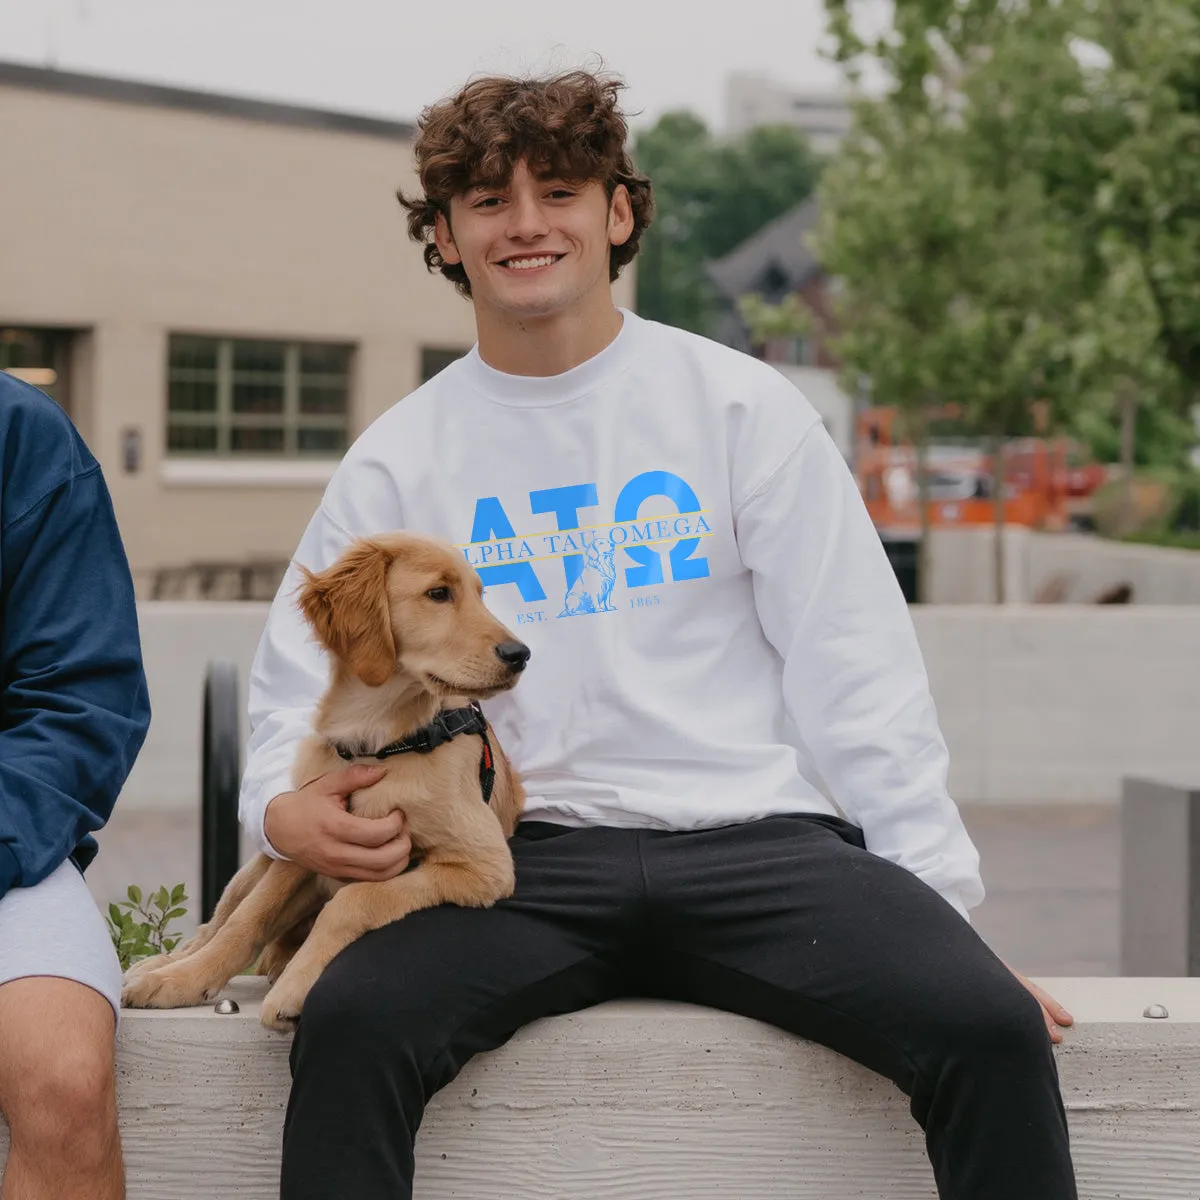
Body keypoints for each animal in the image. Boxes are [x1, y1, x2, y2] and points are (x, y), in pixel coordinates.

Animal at [121, 535, 530, 1032]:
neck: (381, 740)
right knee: (217, 921)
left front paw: (293, 988)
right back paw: (160, 966)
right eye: (439, 594)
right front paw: (185, 979)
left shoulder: (483, 865)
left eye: (480, 595)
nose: (519, 655)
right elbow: (247, 920)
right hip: (263, 858)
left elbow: (353, 898)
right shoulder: (307, 838)